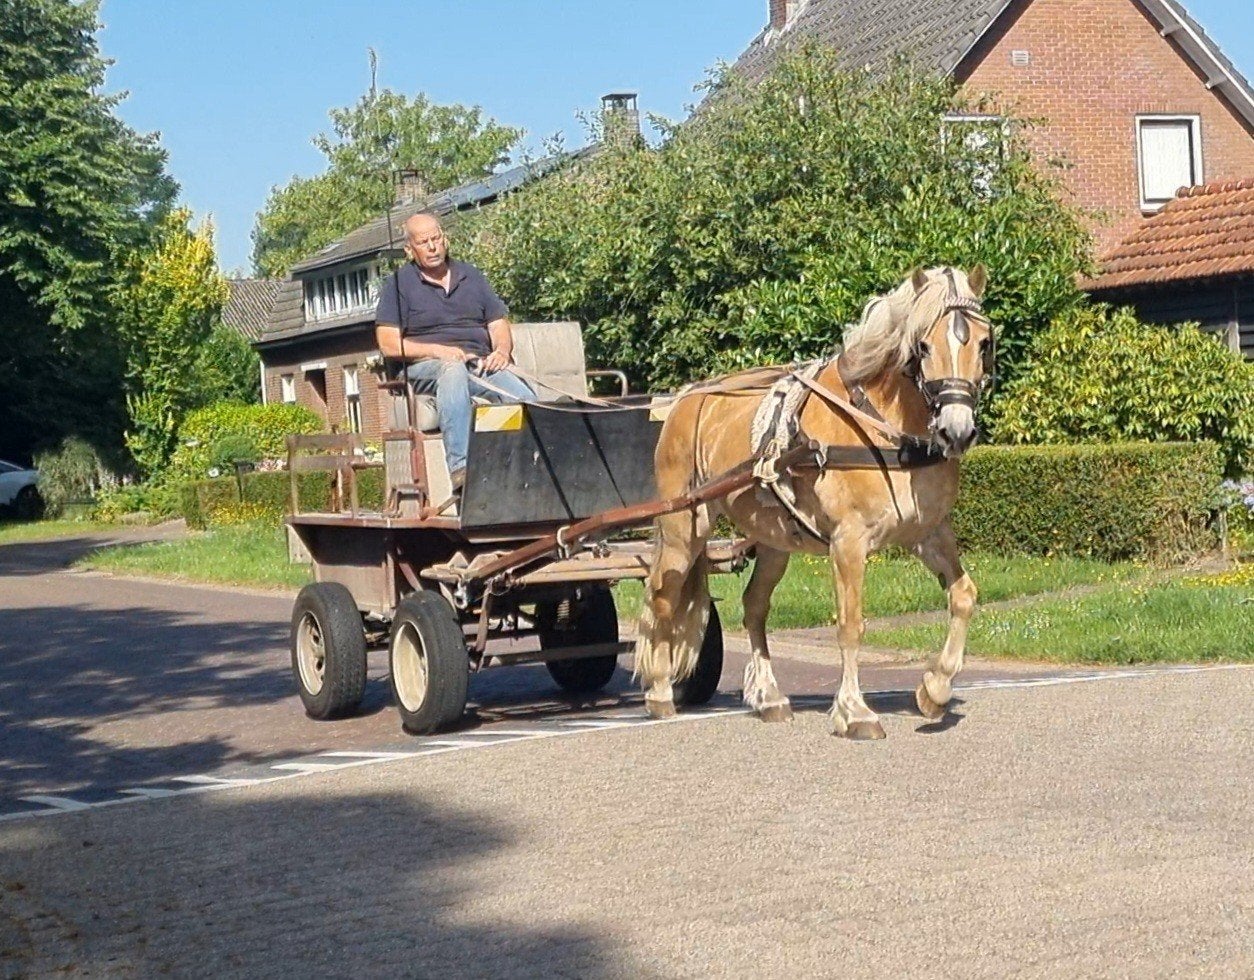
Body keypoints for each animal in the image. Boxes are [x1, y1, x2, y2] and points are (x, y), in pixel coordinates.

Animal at [633, 266, 995, 739]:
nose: (957, 429)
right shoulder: (848, 542)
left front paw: (934, 690)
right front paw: (855, 712)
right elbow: (850, 624)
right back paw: (659, 692)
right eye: (923, 345)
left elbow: (964, 596)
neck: (885, 425)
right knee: (663, 596)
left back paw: (770, 697)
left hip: (773, 539)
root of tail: (687, 398)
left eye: (984, 342)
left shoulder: (930, 533)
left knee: (754, 607)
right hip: (683, 527)